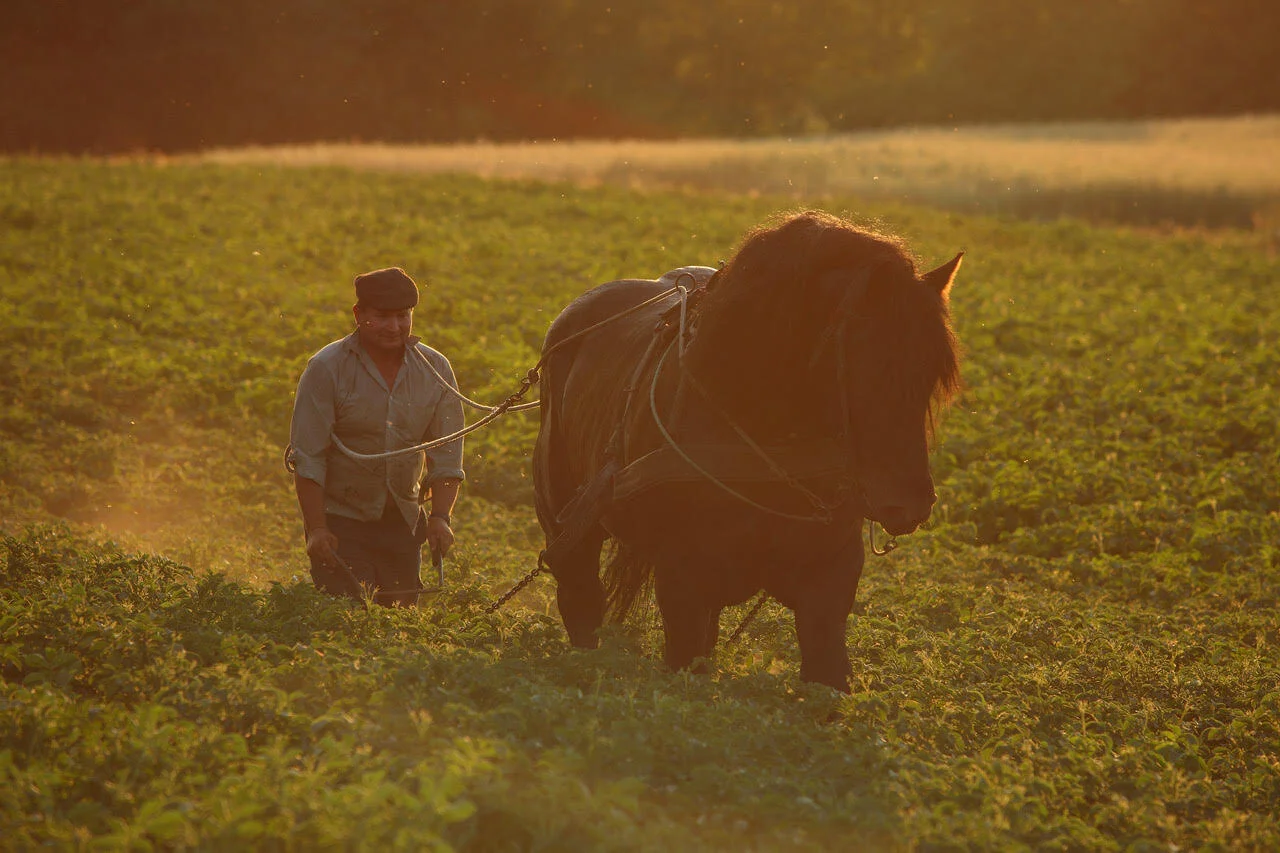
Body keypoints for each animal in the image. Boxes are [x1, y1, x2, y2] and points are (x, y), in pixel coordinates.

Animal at [532, 210, 963, 691]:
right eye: (871, 366)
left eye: (932, 372)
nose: (909, 504)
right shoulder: (683, 581)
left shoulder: (829, 582)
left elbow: (827, 676)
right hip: (566, 523)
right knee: (580, 597)